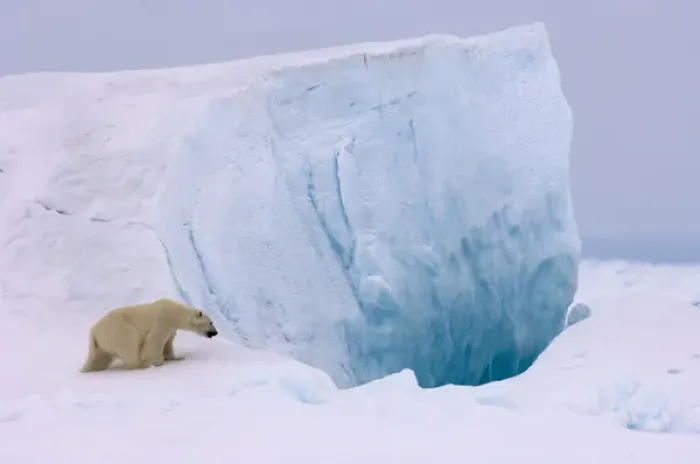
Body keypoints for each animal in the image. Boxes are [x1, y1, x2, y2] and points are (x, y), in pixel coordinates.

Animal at [80, 297, 218, 373]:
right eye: (211, 322)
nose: (215, 332)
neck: (175, 314)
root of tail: (94, 332)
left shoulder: (171, 328)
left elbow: (168, 343)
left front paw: (177, 358)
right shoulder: (162, 323)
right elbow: (153, 342)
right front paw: (158, 361)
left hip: (101, 345)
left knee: (99, 359)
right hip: (119, 330)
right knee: (130, 345)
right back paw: (144, 365)